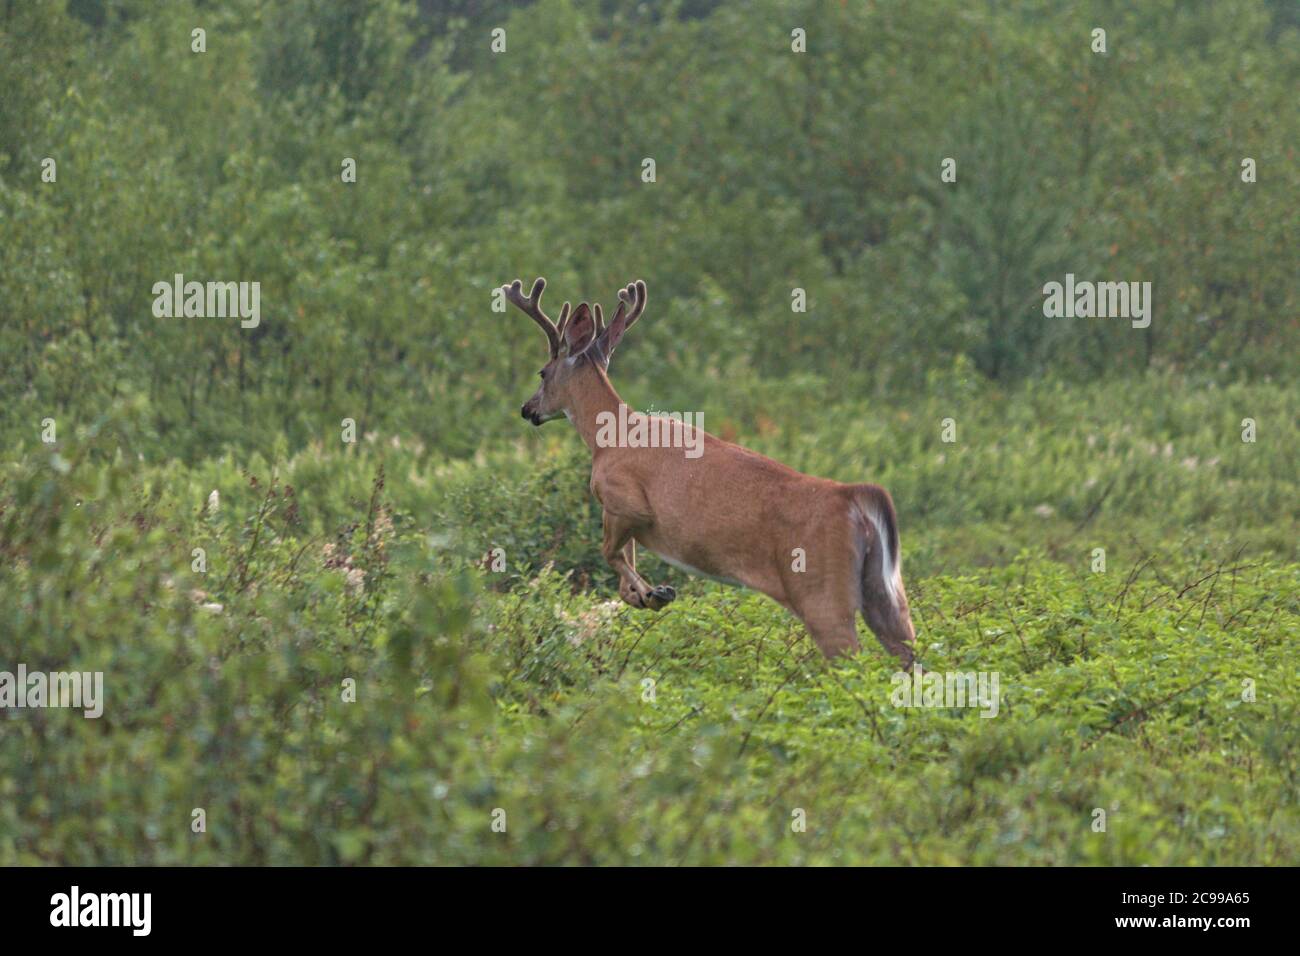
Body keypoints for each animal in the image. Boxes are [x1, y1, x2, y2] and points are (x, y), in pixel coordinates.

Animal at [501, 277, 920, 665]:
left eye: (542, 372)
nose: (526, 409)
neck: (607, 438)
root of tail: (853, 498)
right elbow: (622, 564)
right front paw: (649, 594)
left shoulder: (623, 498)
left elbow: (610, 552)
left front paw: (654, 593)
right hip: (884, 594)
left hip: (821, 591)